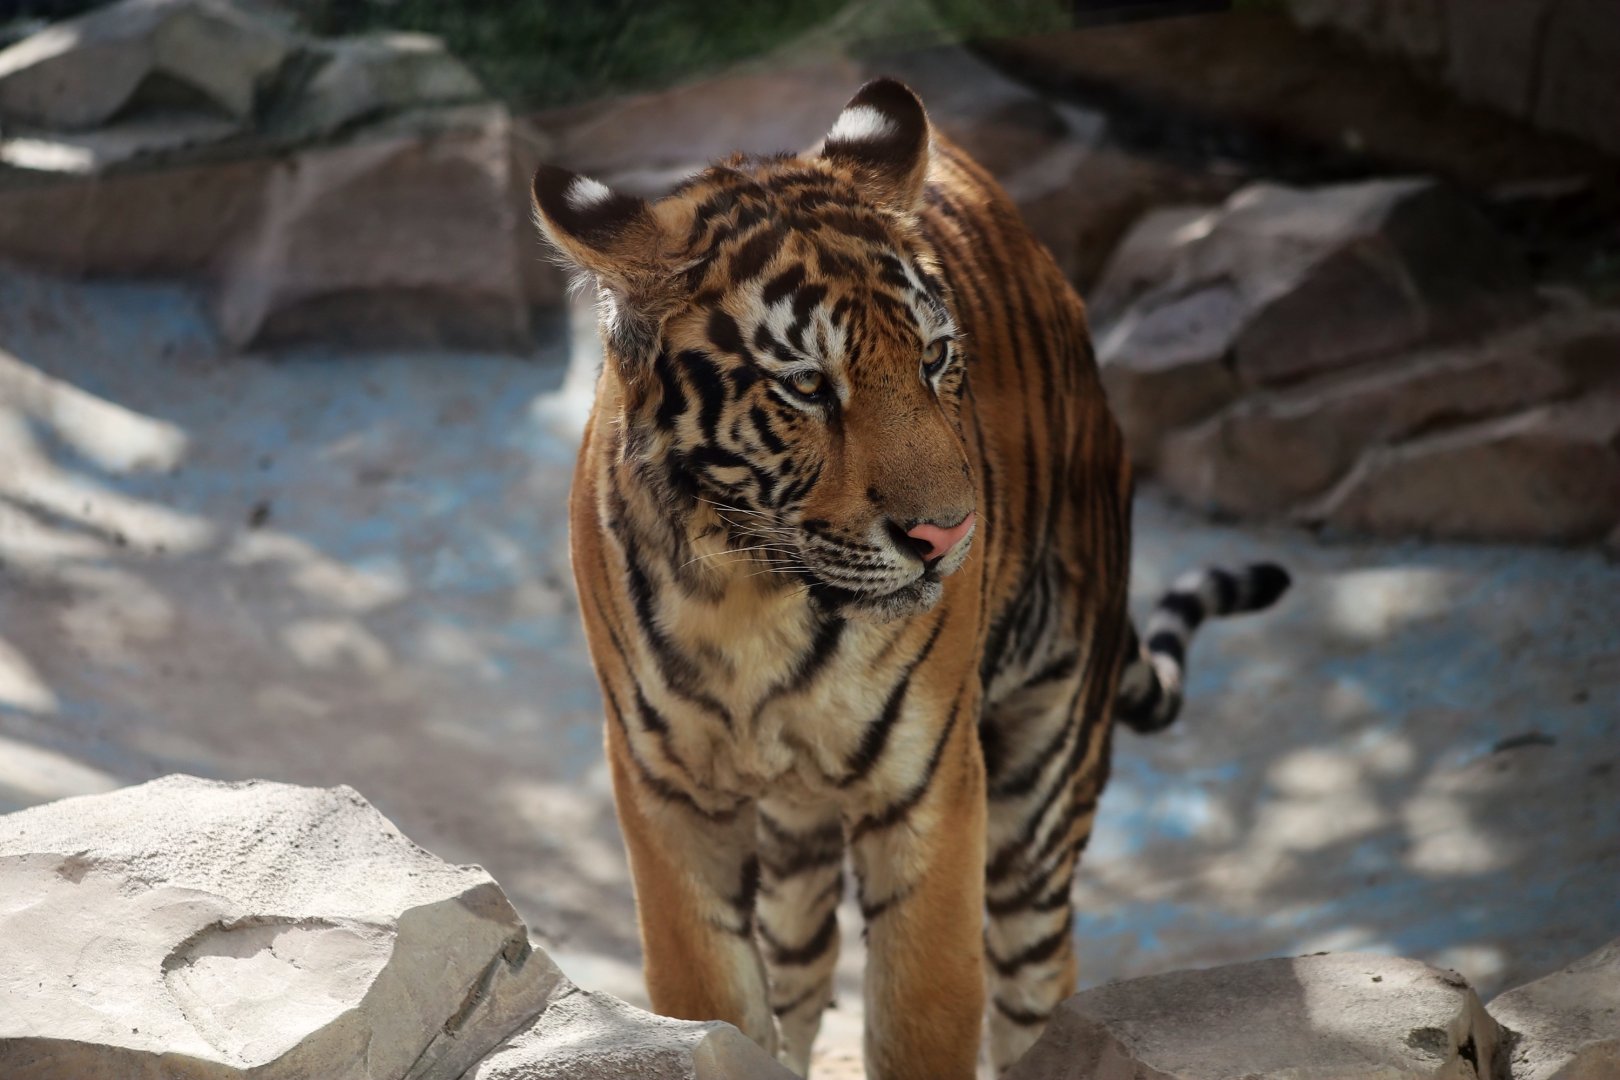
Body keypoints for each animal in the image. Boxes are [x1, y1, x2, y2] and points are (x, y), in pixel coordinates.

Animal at [530, 78, 1289, 1079]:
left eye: (932, 359)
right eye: (808, 385)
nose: (947, 533)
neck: (753, 595)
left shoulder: (931, 784)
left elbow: (922, 1013)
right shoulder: (666, 787)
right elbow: (715, 998)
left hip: (1041, 781)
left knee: (1039, 979)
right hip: (797, 837)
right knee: (801, 967)